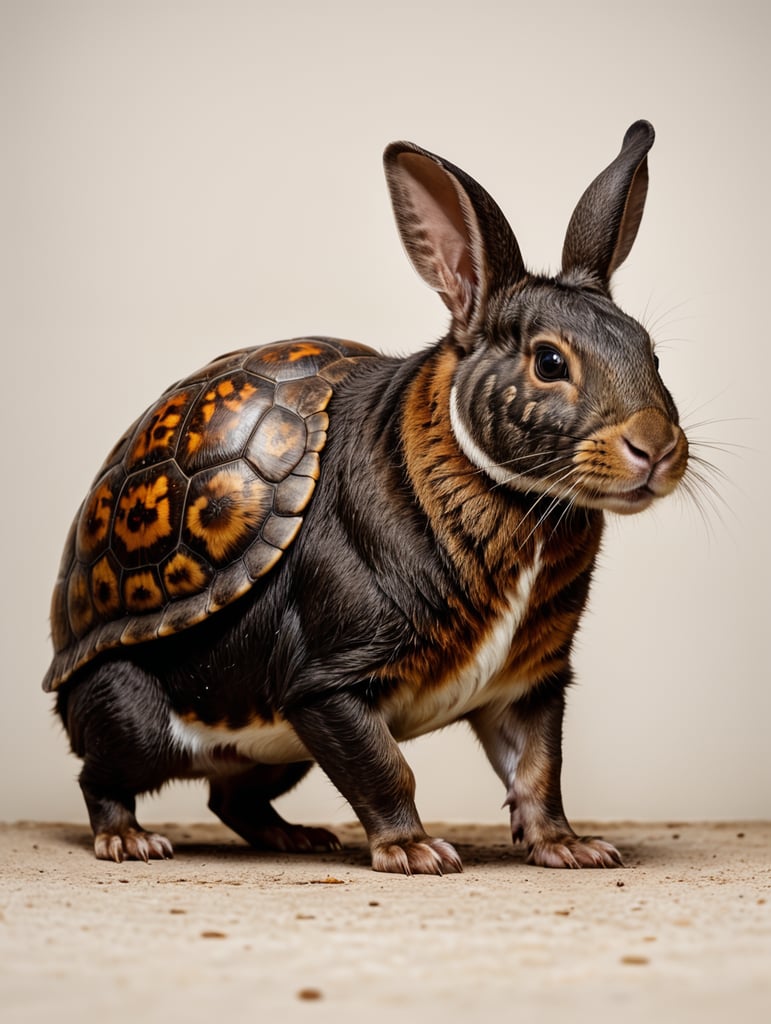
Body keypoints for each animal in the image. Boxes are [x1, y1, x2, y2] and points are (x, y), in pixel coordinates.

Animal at [46, 119, 688, 873]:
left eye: (650, 352)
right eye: (549, 361)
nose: (655, 445)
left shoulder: (529, 683)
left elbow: (538, 766)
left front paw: (568, 846)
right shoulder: (327, 685)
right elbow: (383, 766)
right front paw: (413, 850)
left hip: (273, 754)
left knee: (230, 795)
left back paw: (292, 836)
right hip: (131, 709)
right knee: (103, 771)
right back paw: (128, 839)